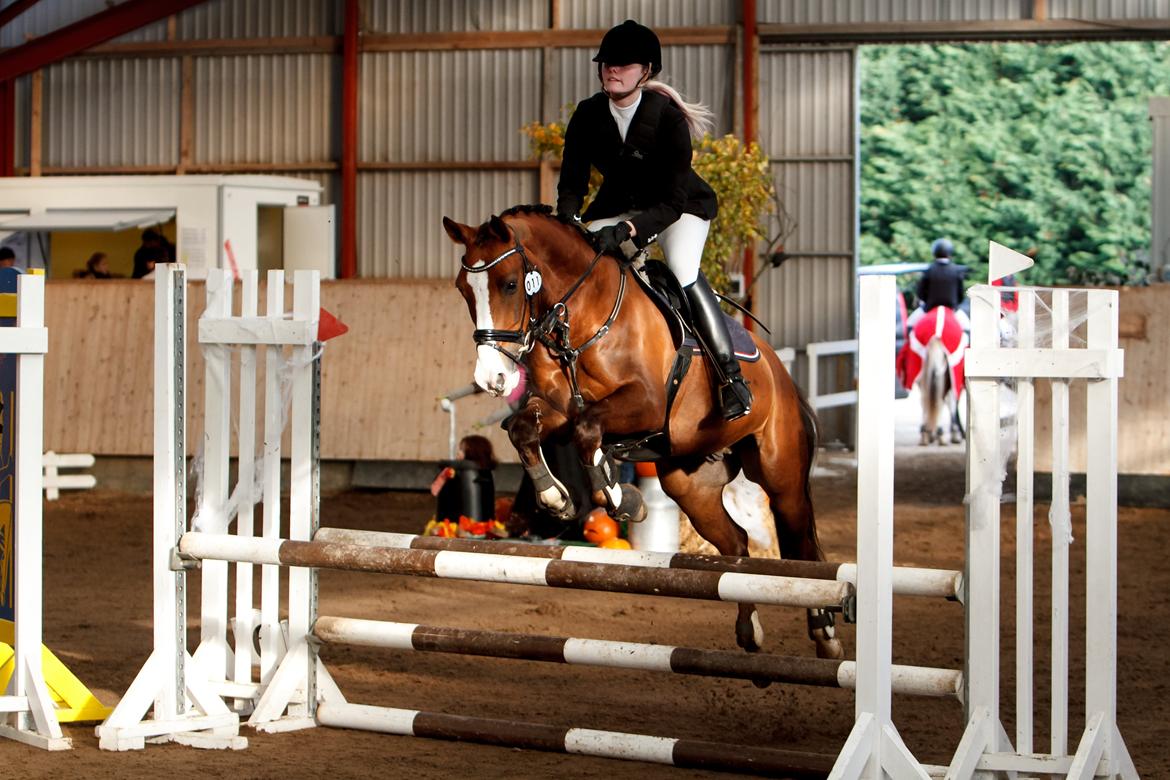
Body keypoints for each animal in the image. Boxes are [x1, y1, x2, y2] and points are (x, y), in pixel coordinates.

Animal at [443, 205, 842, 661]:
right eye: (463, 290)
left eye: (510, 284)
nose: (492, 379)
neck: (581, 318)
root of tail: (784, 378)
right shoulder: (559, 409)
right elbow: (524, 429)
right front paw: (558, 498)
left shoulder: (645, 405)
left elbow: (588, 432)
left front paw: (621, 498)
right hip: (691, 484)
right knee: (737, 544)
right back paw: (749, 630)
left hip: (781, 475)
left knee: (802, 546)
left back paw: (825, 633)